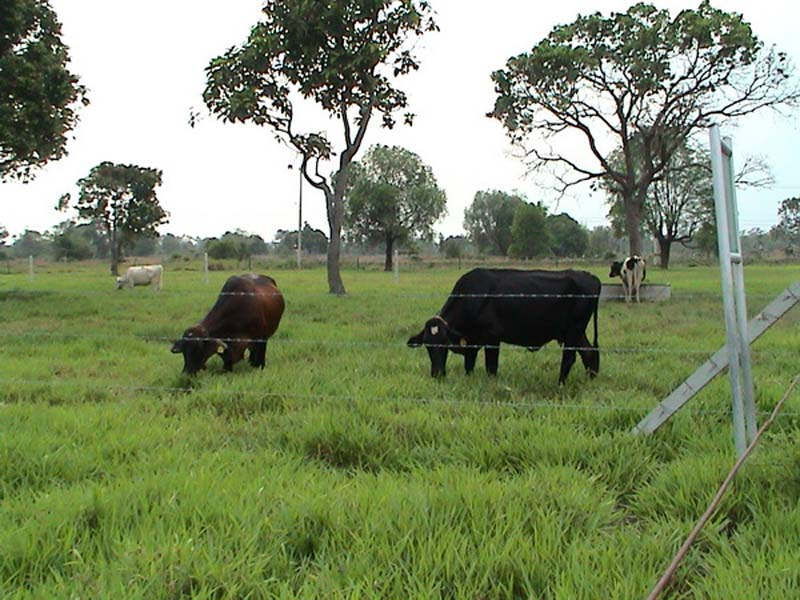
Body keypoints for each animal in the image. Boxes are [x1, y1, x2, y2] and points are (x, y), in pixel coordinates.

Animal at [406, 268, 600, 384]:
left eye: (444, 344)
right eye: (427, 346)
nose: (436, 374)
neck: (473, 297)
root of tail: (590, 277)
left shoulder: (492, 338)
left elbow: (491, 367)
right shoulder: (471, 341)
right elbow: (469, 366)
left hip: (573, 331)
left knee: (569, 358)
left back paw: (560, 384)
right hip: (575, 332)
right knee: (588, 353)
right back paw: (590, 380)